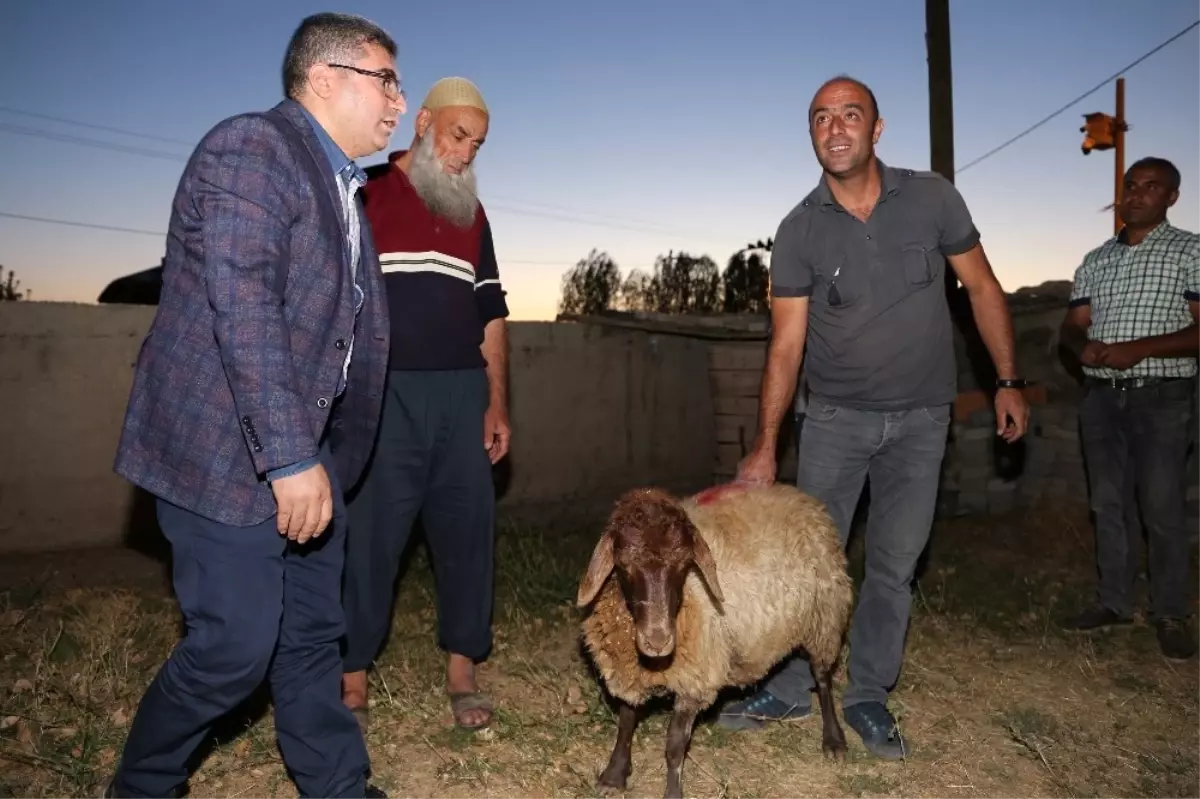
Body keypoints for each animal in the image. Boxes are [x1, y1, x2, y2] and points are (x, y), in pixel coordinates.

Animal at [573, 479, 849, 796]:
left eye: (683, 562)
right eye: (623, 562)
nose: (658, 641)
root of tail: (804, 499)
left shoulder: (695, 679)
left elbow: (675, 746)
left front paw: (672, 793)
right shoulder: (629, 669)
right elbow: (627, 720)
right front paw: (614, 775)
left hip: (825, 617)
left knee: (823, 678)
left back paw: (834, 740)